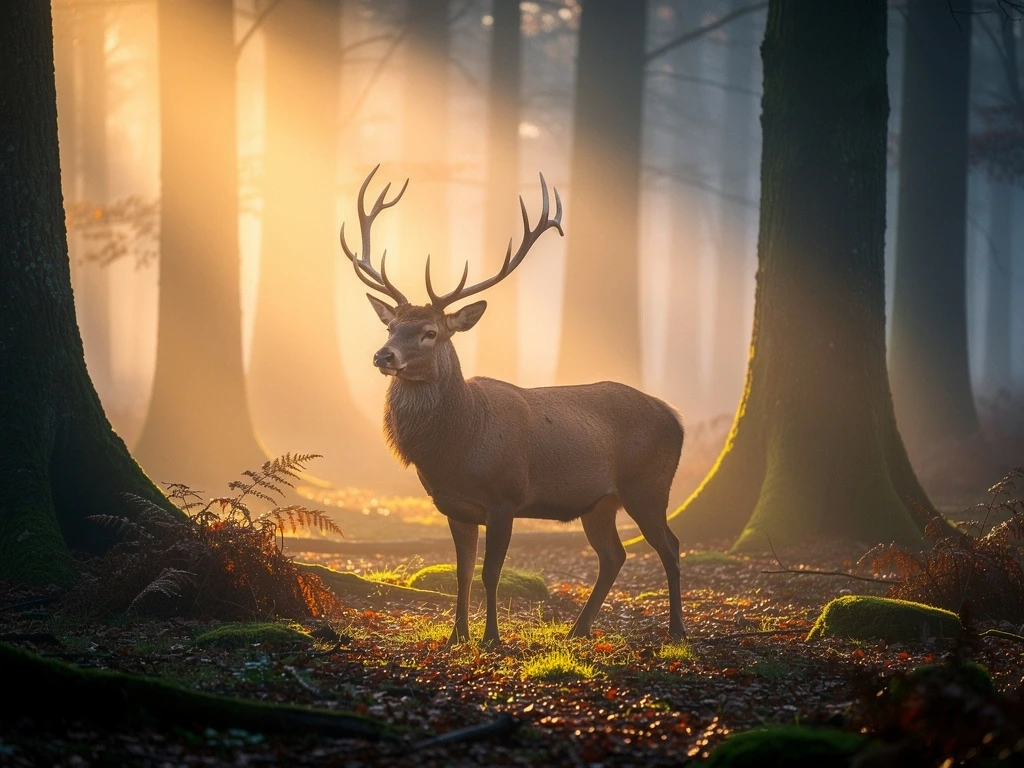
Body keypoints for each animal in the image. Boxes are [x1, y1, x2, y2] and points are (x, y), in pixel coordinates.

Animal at [340, 165, 686, 648]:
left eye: (430, 332)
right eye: (392, 326)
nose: (382, 356)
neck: (458, 447)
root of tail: (676, 417)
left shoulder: (505, 496)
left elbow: (491, 574)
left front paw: (491, 639)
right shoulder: (454, 506)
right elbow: (463, 573)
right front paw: (457, 637)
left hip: (649, 485)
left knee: (670, 546)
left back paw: (676, 631)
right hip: (600, 501)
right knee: (613, 555)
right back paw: (578, 629)